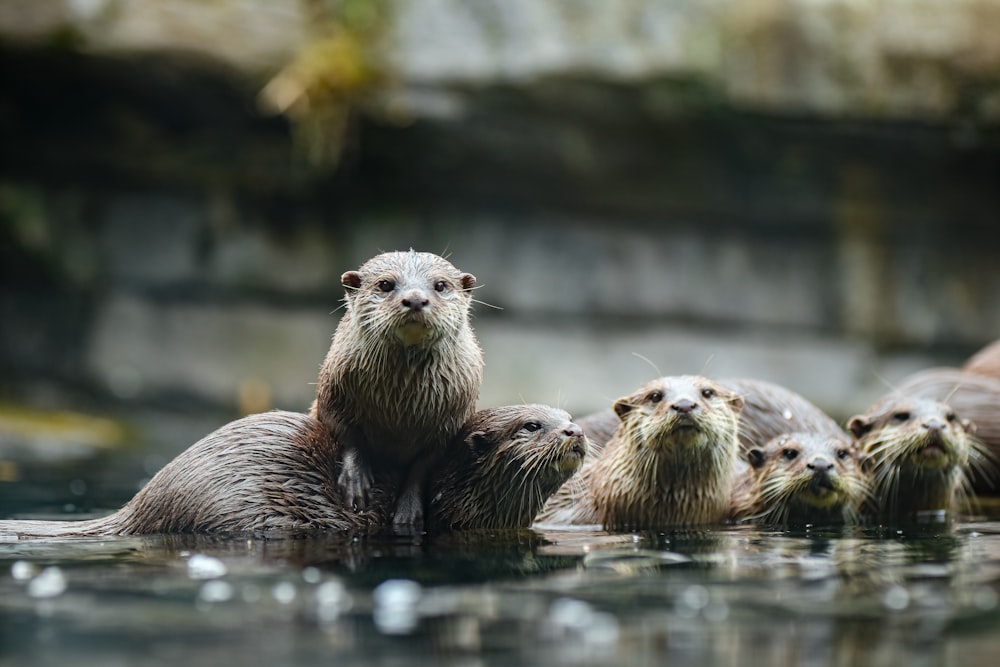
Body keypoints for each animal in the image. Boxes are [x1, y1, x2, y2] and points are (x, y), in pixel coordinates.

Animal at [312, 250, 484, 528]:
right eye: (385, 284)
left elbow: (423, 465)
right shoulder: (332, 394)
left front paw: (408, 511)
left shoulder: (451, 422)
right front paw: (355, 482)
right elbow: (347, 435)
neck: (399, 413)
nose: (414, 299)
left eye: (440, 285)